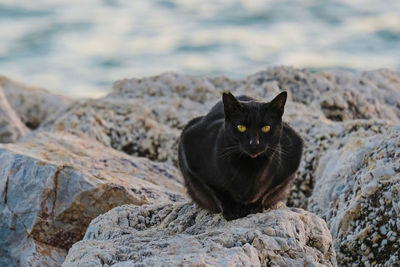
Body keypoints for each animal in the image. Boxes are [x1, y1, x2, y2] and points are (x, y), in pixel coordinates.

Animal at [178, 91, 304, 221]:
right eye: (241, 127)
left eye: (266, 128)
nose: (254, 143)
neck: (250, 168)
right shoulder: (191, 152)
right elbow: (218, 192)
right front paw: (232, 212)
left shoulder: (292, 159)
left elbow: (266, 192)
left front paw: (253, 208)